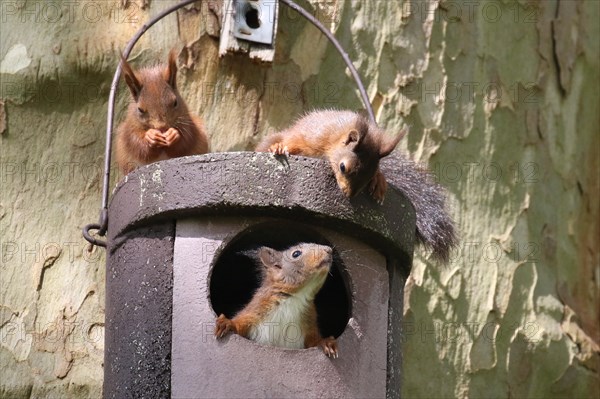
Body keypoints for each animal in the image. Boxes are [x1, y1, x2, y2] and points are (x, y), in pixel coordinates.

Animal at [254, 109, 404, 202]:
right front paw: (279, 147)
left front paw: (379, 180)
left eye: (369, 176)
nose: (349, 194)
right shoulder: (314, 137)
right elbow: (293, 142)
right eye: (342, 167)